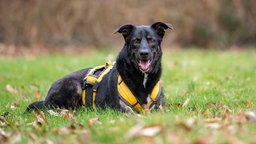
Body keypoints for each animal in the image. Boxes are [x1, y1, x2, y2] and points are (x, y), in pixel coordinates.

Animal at [26, 22, 173, 113]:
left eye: (151, 39)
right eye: (136, 40)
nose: (144, 53)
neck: (142, 78)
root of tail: (46, 98)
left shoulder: (160, 108)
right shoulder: (122, 110)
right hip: (73, 86)